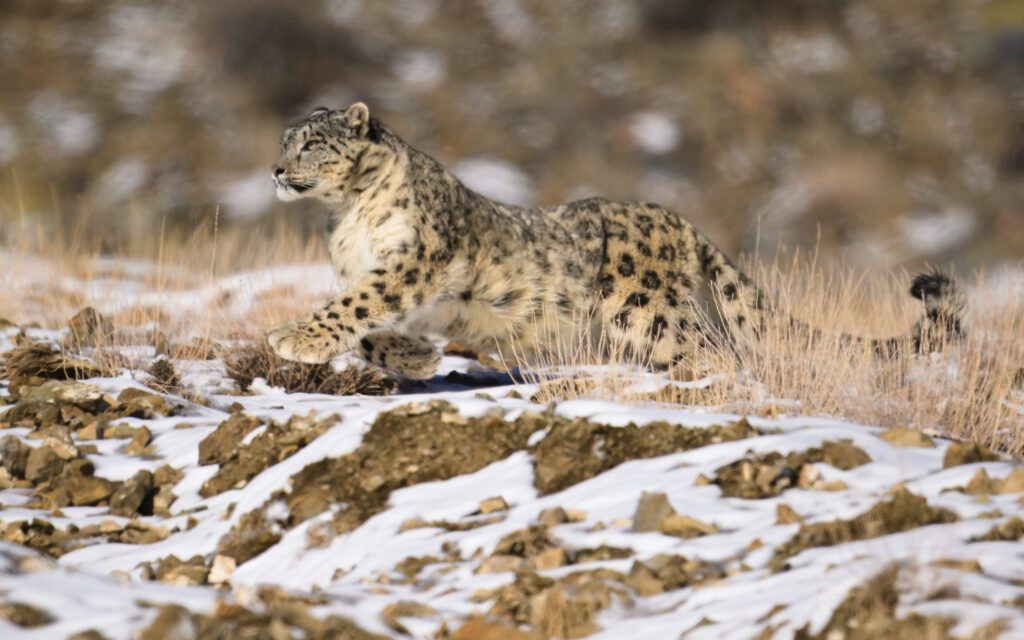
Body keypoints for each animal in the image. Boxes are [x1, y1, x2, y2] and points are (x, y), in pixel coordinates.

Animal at [268, 103, 965, 380]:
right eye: (284, 139)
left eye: (312, 143)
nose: (275, 169)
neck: (344, 217)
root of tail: (677, 220)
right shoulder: (372, 275)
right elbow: (370, 326)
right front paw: (413, 359)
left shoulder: (410, 261)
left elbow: (358, 305)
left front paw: (291, 338)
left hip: (645, 309)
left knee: (715, 349)